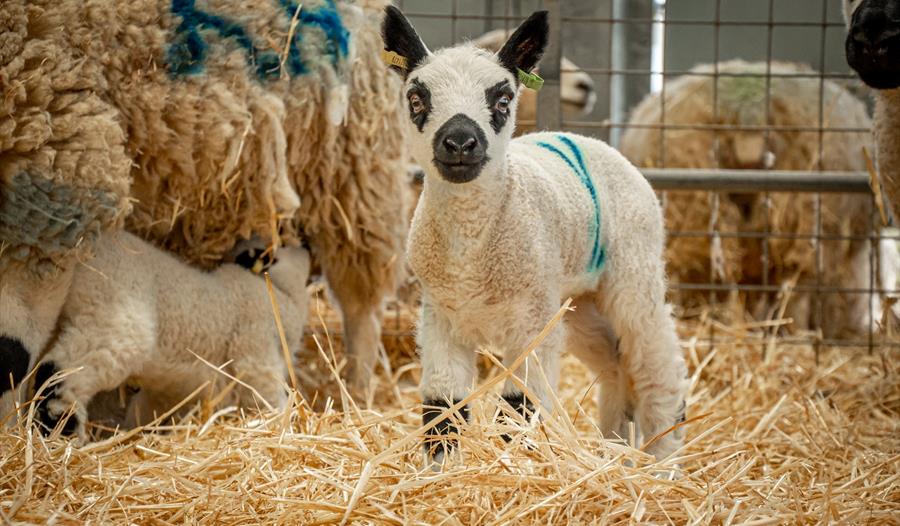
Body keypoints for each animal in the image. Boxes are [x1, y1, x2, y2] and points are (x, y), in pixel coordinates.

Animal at [382, 6, 688, 464]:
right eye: (417, 99)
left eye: (503, 100)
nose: (459, 142)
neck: (471, 251)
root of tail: (589, 140)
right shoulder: (441, 317)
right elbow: (442, 408)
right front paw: (440, 471)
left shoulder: (530, 326)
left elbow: (519, 407)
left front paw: (515, 465)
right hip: (574, 302)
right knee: (615, 360)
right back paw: (614, 446)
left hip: (632, 271)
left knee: (657, 362)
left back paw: (663, 458)